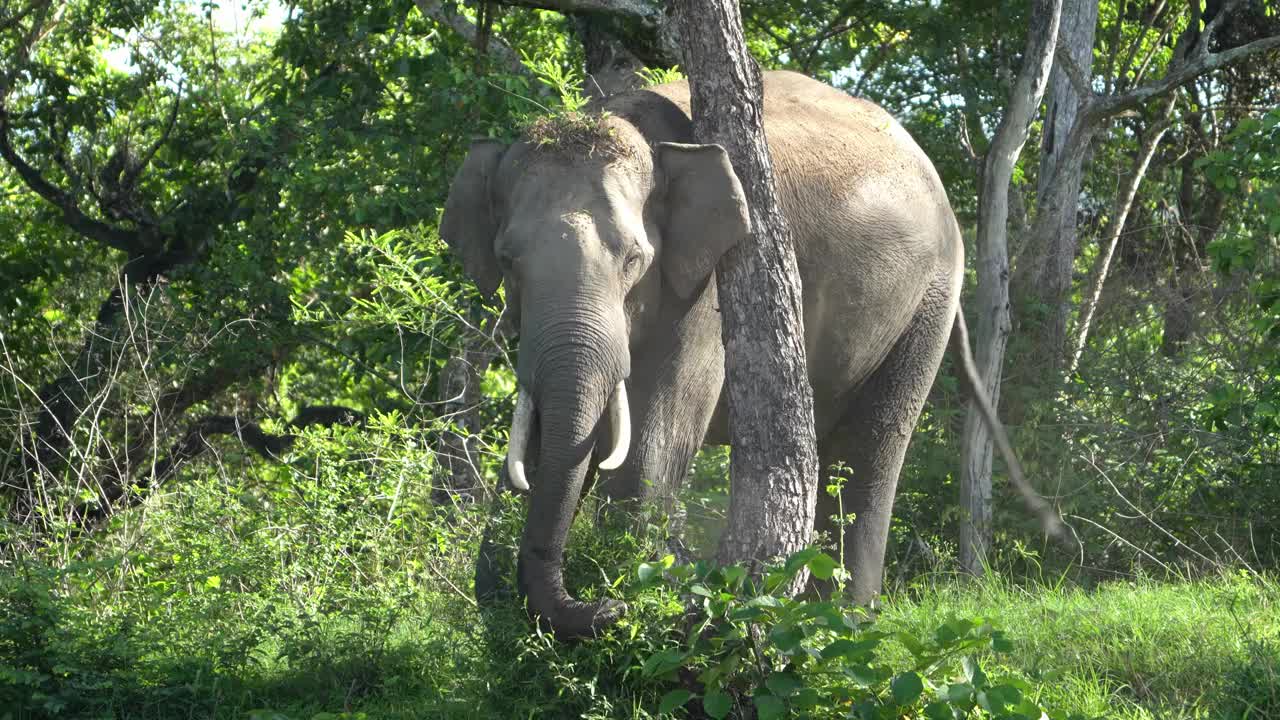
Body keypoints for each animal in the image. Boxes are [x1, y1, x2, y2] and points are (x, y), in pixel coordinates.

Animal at [445, 70, 1024, 635]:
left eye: (635, 259)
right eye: (507, 260)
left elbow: (652, 446)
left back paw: (843, 624)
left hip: (928, 301)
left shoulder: (708, 282)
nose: (607, 607)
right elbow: (548, 437)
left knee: (871, 452)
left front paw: (636, 601)